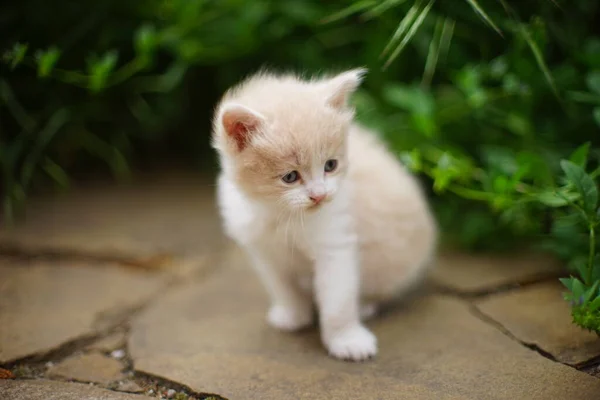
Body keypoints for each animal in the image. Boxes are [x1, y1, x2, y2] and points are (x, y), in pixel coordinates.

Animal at [211, 69, 436, 362]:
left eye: (331, 165)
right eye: (290, 177)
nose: (319, 195)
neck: (280, 214)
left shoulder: (336, 242)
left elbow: (338, 299)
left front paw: (347, 340)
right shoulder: (265, 251)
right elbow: (282, 285)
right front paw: (293, 314)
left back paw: (364, 306)